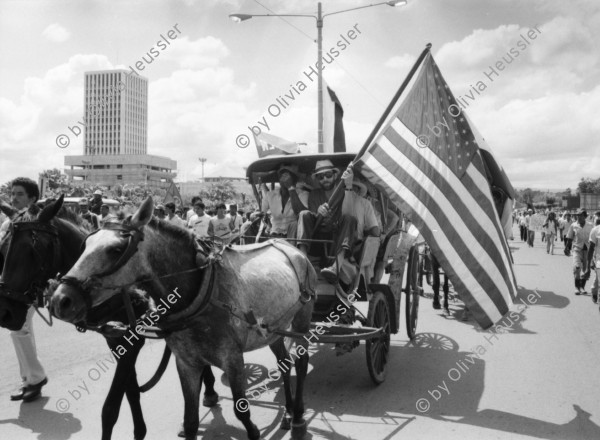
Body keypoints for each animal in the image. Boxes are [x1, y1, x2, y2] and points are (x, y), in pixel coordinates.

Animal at [0, 197, 219, 440]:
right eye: (3, 247)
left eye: (33, 250)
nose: (5, 313)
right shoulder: (115, 341)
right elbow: (131, 391)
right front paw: (140, 431)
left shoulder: (132, 342)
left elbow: (111, 407)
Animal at [49, 198, 316, 438]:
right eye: (85, 244)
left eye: (115, 250)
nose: (60, 300)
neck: (199, 293)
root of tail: (290, 246)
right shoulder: (186, 362)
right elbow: (190, 421)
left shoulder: (233, 359)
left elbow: (243, 413)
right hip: (274, 328)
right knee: (284, 363)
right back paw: (288, 412)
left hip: (301, 320)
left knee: (301, 363)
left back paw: (298, 417)